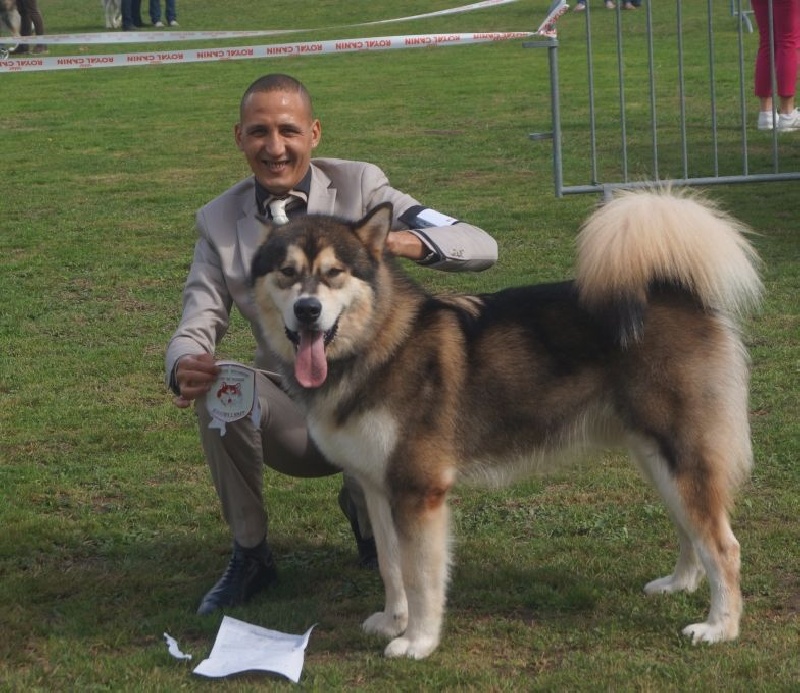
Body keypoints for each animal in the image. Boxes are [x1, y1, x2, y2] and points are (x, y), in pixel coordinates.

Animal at [249, 189, 762, 660]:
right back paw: (679, 583)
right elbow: (391, 568)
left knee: (725, 546)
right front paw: (393, 621)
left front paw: (418, 641)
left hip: (681, 455)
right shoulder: (377, 488)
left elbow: (420, 577)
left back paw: (719, 627)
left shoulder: (419, 491)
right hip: (657, 458)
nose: (308, 311)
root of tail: (672, 290)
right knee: (690, 530)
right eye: (287, 273)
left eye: (334, 273)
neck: (380, 346)